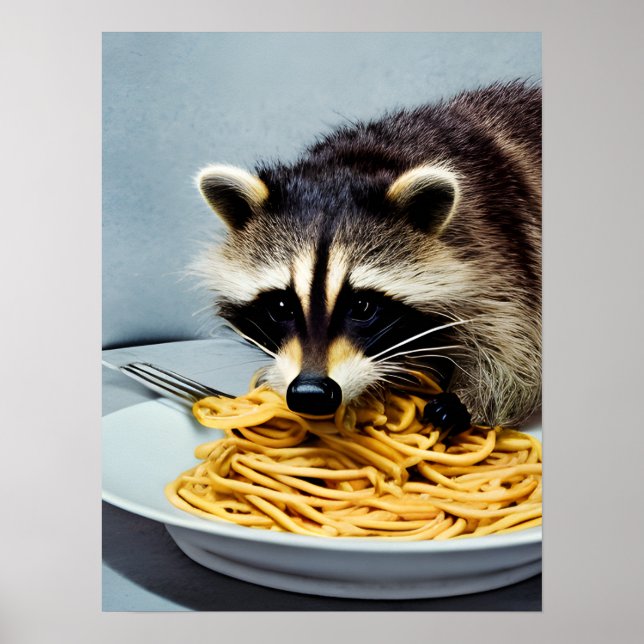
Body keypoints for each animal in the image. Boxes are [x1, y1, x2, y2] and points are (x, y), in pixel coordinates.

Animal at [192, 81, 541, 429]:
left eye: (362, 306)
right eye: (280, 306)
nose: (311, 393)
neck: (353, 161)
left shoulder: (497, 243)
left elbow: (516, 346)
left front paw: (465, 401)